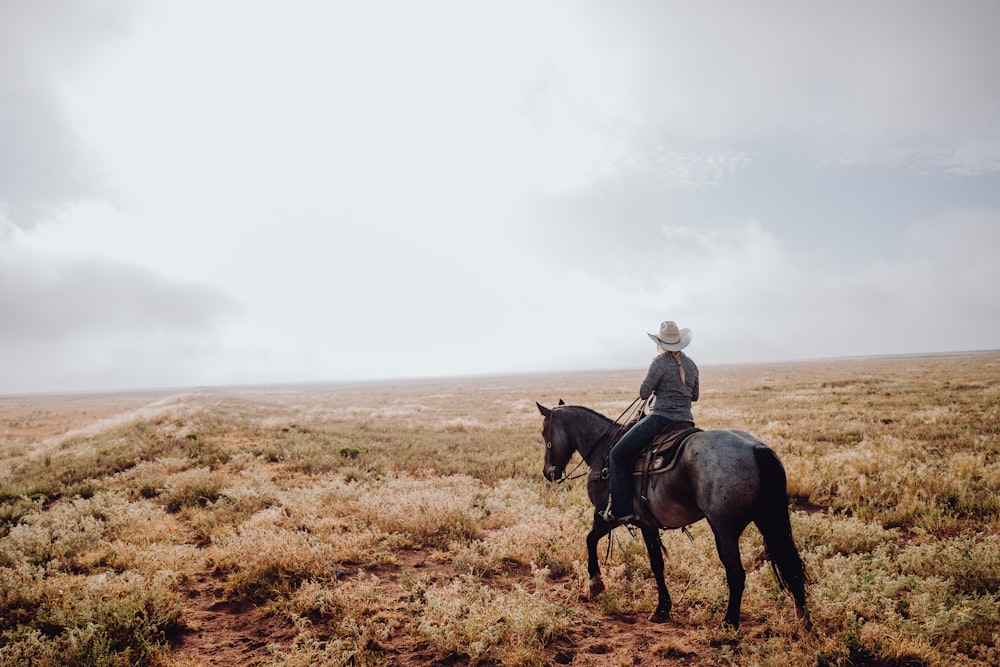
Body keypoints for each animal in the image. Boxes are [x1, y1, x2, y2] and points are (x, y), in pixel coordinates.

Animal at [536, 402, 808, 632]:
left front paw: (595, 583)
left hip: (725, 531)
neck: (603, 451)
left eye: (544, 434)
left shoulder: (608, 515)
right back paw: (803, 617)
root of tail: (756, 448)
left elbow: (590, 539)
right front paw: (663, 609)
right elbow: (657, 563)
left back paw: (730, 623)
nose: (548, 473)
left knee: (736, 573)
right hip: (768, 519)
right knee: (791, 565)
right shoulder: (647, 523)